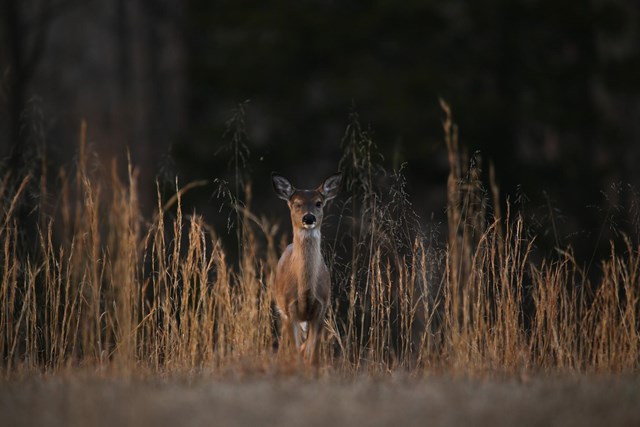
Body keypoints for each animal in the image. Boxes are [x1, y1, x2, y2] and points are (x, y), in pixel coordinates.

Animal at [271, 172, 341, 366]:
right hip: (282, 311)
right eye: (296, 203)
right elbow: (295, 352)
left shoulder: (321, 309)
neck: (305, 289)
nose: (308, 218)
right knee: (285, 347)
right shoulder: (290, 310)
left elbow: (313, 356)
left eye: (318, 203)